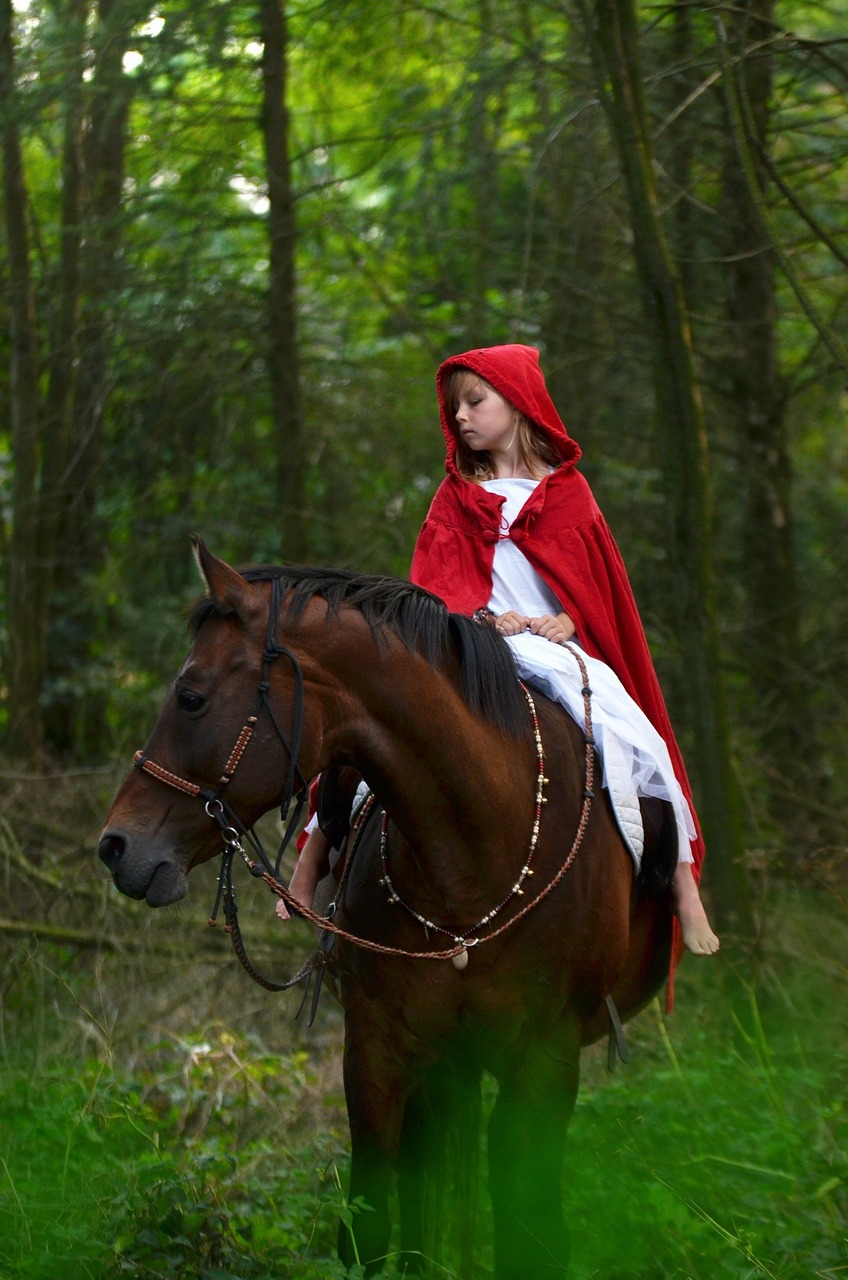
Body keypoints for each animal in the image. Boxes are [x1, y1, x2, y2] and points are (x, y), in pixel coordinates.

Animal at [97, 542, 676, 1280]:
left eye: (191, 696)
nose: (116, 846)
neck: (477, 853)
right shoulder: (377, 1050)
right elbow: (371, 1223)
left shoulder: (545, 1061)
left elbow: (531, 1230)